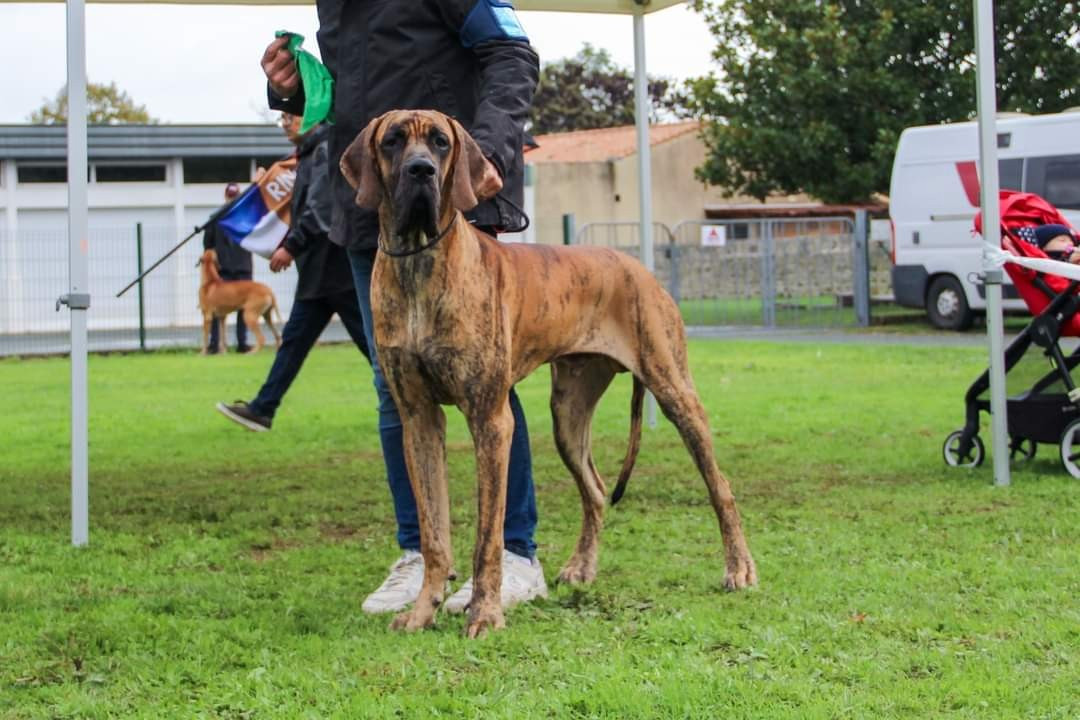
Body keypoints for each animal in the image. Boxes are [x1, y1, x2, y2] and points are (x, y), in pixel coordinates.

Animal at [340, 110, 757, 638]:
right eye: (393, 140)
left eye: (439, 142)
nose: (421, 171)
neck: (418, 262)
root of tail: (639, 267)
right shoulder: (418, 420)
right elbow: (434, 534)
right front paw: (421, 612)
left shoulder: (492, 421)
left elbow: (488, 537)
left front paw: (485, 613)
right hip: (569, 413)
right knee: (596, 490)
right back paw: (582, 567)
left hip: (674, 389)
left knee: (720, 487)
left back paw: (739, 568)